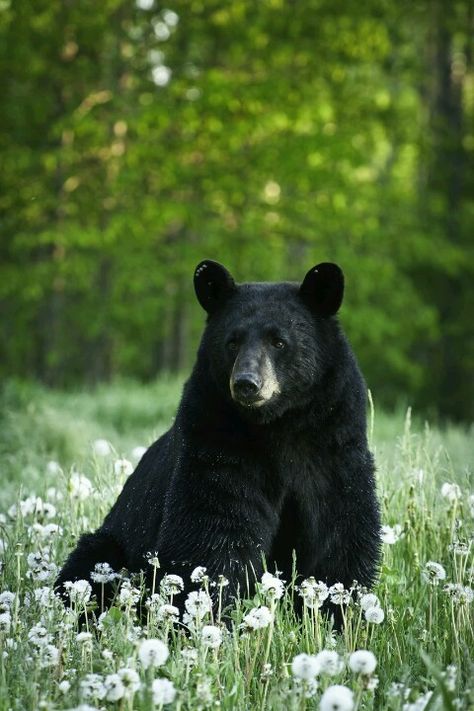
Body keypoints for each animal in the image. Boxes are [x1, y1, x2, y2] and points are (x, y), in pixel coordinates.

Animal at [56, 262, 382, 612]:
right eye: (232, 341)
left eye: (279, 342)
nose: (246, 383)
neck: (279, 426)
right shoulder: (217, 442)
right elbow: (215, 527)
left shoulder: (333, 447)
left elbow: (339, 531)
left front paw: (339, 611)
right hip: (112, 545)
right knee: (90, 566)